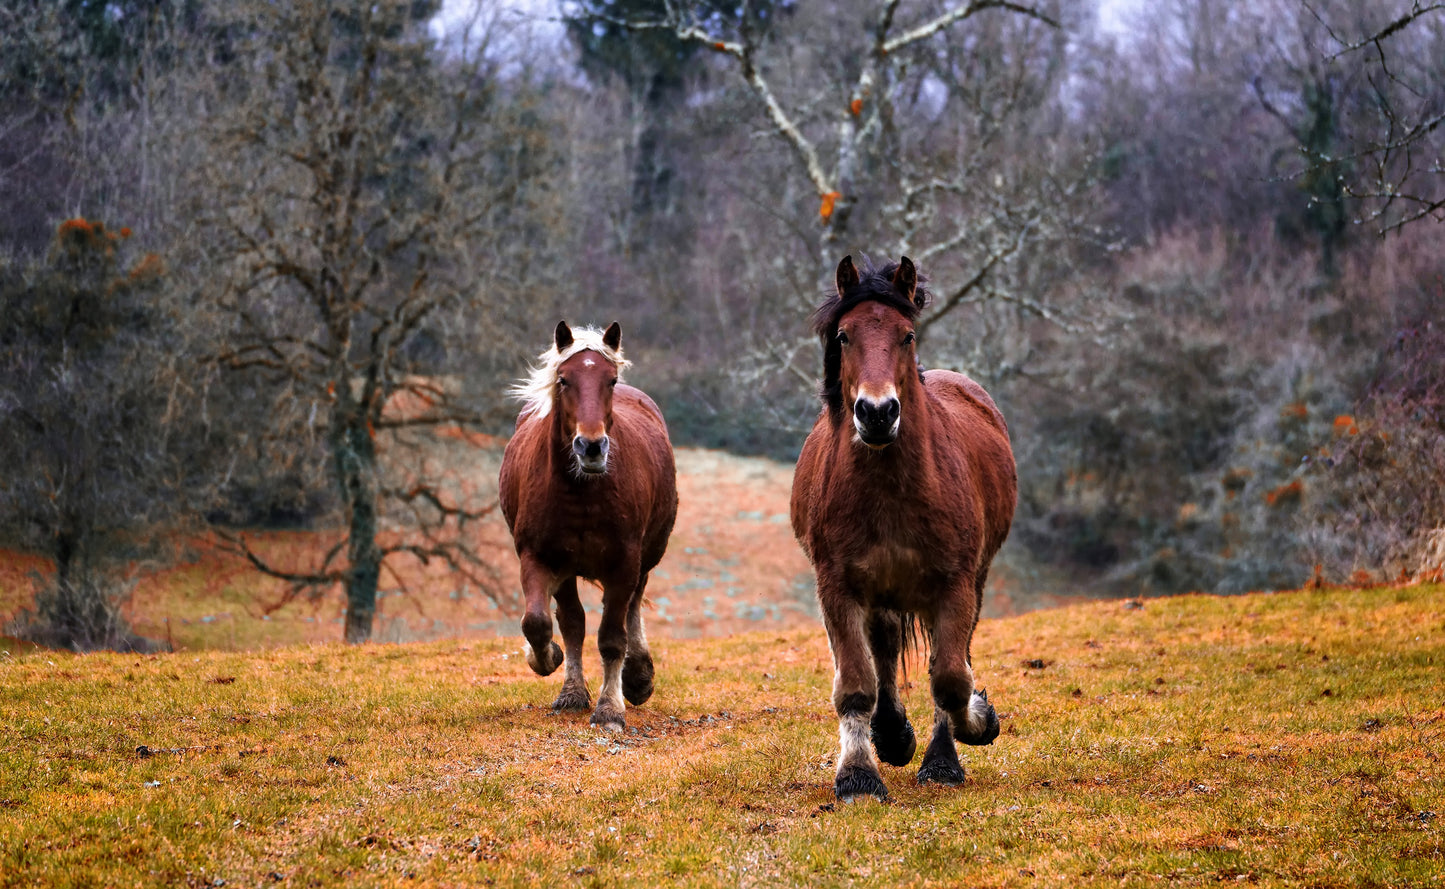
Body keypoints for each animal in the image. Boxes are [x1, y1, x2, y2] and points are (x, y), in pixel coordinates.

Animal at [499, 321, 678, 731]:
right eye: (564, 380)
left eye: (610, 380)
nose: (591, 447)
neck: (581, 492)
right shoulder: (539, 558)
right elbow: (541, 623)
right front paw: (548, 661)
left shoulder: (624, 563)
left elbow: (612, 637)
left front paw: (610, 708)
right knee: (573, 621)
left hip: (645, 557)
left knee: (632, 608)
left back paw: (637, 677)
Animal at [790, 255, 1017, 801]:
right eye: (844, 336)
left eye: (907, 335)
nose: (877, 413)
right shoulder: (838, 586)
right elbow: (856, 683)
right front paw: (858, 774)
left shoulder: (955, 585)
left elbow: (951, 678)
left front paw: (973, 727)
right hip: (881, 593)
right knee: (885, 652)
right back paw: (891, 735)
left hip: (967, 582)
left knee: (945, 658)